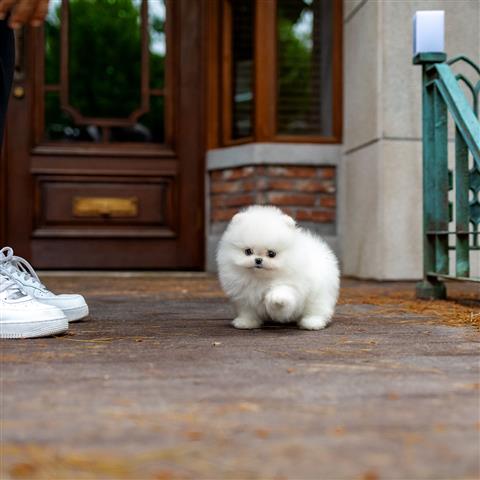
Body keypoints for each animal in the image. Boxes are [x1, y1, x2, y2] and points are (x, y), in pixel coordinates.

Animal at [216, 204, 340, 332]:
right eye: (248, 251)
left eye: (272, 254)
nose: (258, 260)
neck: (261, 278)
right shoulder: (244, 297)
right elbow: (247, 312)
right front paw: (246, 323)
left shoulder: (292, 285)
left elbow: (282, 292)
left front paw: (277, 298)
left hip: (318, 295)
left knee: (317, 310)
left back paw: (312, 323)